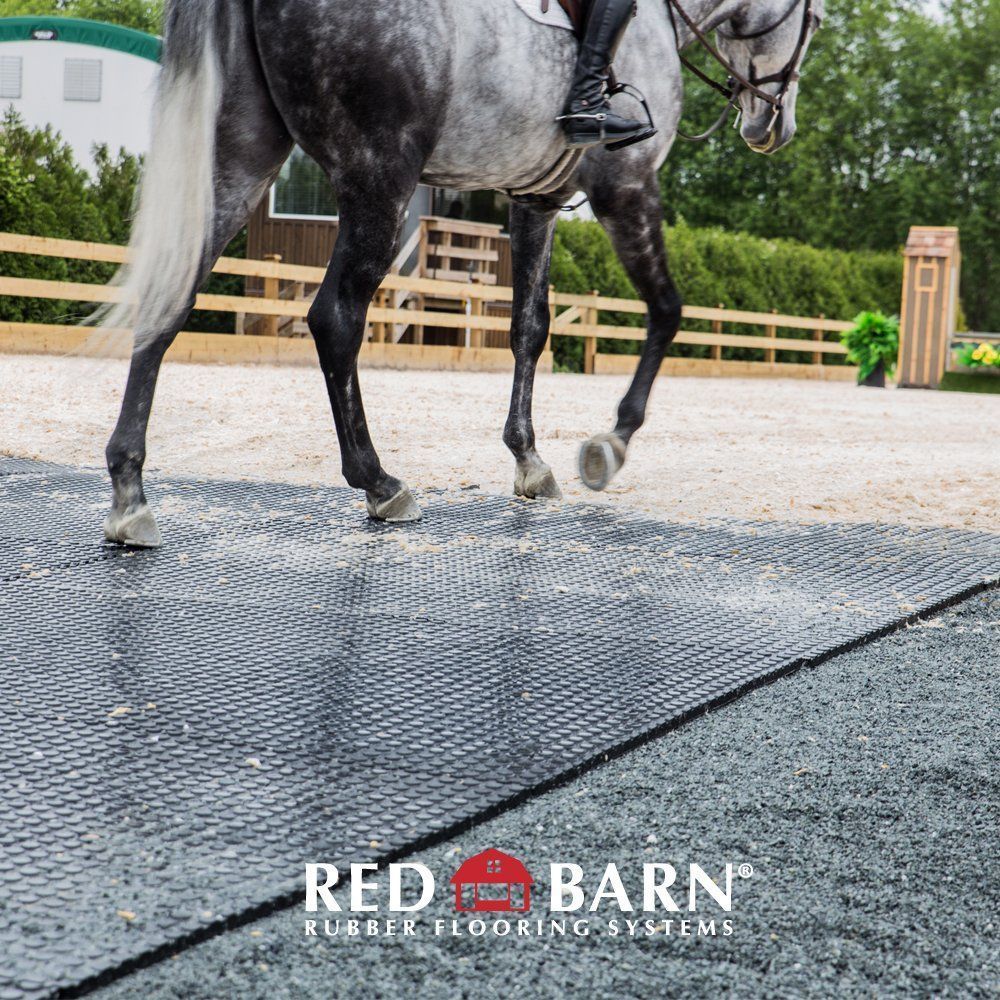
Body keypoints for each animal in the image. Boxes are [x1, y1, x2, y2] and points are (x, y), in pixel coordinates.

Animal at [99, 0, 820, 548]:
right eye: (812, 20)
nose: (773, 126)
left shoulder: (536, 201)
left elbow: (530, 327)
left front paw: (529, 461)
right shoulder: (628, 186)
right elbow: (668, 310)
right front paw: (610, 445)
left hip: (242, 158)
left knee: (170, 300)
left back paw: (130, 494)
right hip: (380, 176)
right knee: (336, 318)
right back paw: (380, 483)